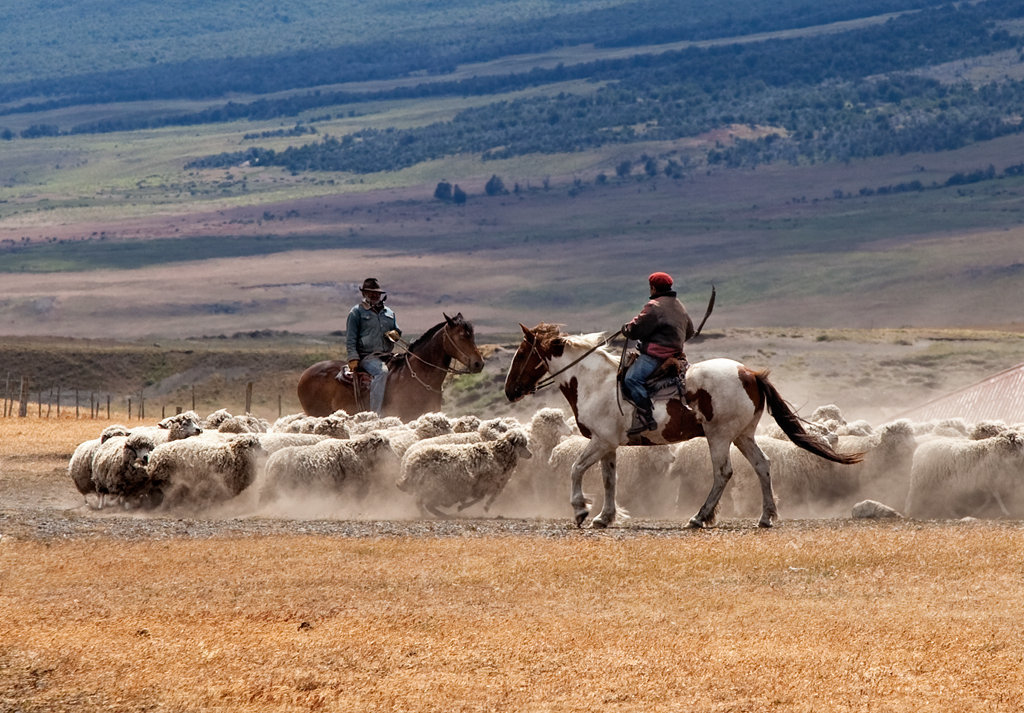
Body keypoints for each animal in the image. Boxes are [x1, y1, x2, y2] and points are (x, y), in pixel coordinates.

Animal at [395, 428, 532, 518]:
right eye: (522, 444)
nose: (530, 454)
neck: (498, 454)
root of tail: (412, 463)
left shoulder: (486, 485)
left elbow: (483, 498)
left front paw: (466, 506)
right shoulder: (483, 484)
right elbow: (480, 498)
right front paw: (464, 506)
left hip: (429, 487)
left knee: (421, 503)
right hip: (435, 488)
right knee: (424, 503)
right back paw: (437, 515)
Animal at [505, 323, 864, 528]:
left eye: (521, 353)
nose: (510, 391)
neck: (596, 382)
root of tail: (749, 373)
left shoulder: (601, 441)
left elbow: (577, 469)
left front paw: (580, 510)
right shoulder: (609, 445)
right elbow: (609, 480)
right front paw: (604, 517)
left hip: (719, 436)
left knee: (723, 473)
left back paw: (699, 517)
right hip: (743, 435)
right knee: (763, 465)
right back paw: (765, 517)